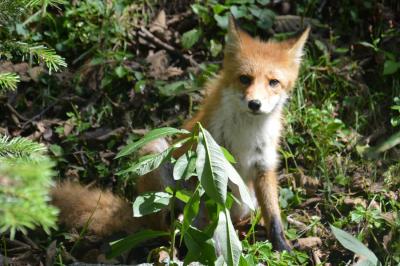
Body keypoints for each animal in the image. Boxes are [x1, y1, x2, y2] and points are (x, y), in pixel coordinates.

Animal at [51, 17, 310, 252]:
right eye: (244, 79)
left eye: (273, 82)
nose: (255, 104)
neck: (246, 134)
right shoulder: (210, 163)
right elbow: (215, 215)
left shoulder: (263, 165)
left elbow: (273, 216)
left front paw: (281, 247)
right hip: (157, 154)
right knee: (169, 224)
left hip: (246, 202)